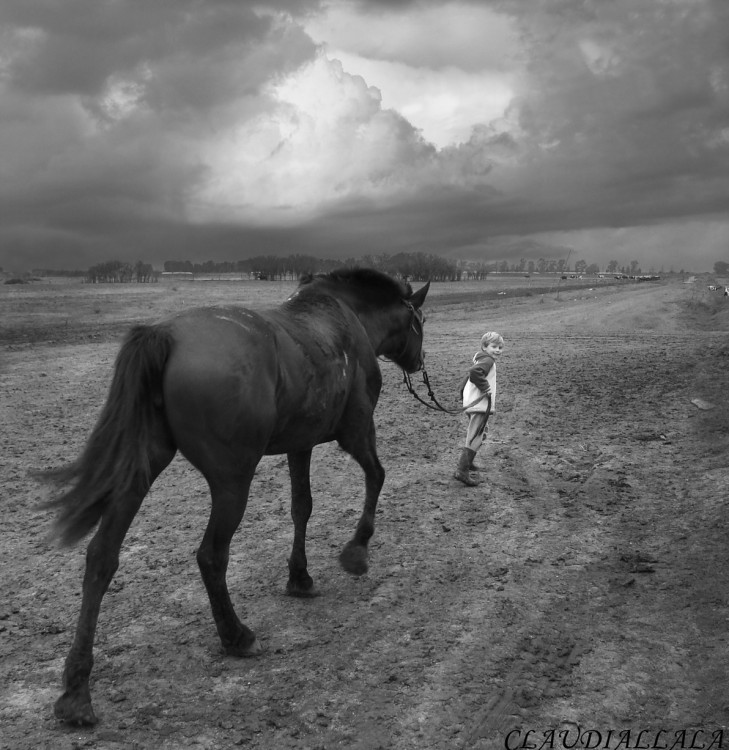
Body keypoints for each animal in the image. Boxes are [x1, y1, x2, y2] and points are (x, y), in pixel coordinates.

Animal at [44, 268, 426, 728]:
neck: (346, 320)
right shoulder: (355, 431)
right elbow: (376, 478)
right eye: (419, 322)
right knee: (211, 555)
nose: (419, 363)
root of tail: (165, 334)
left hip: (140, 470)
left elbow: (302, 508)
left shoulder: (301, 443)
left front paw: (300, 577)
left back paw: (76, 690)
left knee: (102, 557)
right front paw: (357, 552)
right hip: (232, 482)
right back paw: (235, 635)